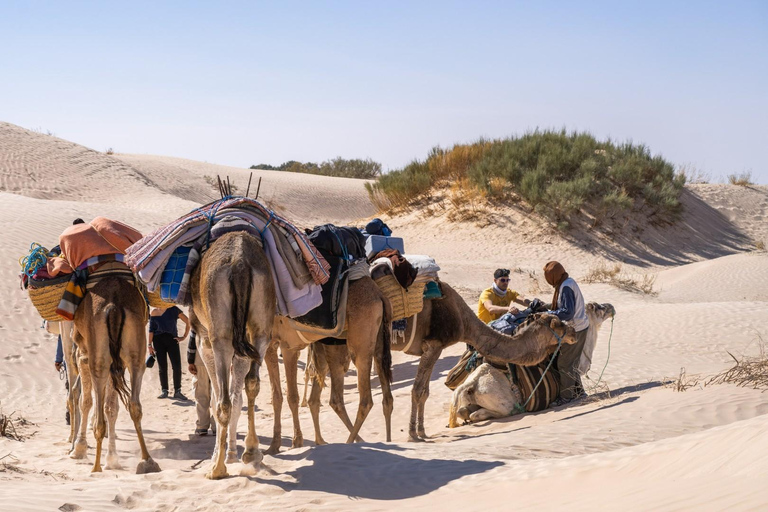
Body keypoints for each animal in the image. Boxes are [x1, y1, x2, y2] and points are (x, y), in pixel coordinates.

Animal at [69, 278, 160, 474]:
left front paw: (79, 449)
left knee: (99, 410)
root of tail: (114, 307)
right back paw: (147, 461)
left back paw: (96, 466)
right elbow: (109, 406)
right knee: (134, 404)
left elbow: (86, 402)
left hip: (99, 357)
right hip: (135, 351)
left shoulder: (82, 356)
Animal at [189, 232, 276, 480]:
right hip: (261, 326)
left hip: (220, 334)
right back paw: (252, 451)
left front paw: (219, 456)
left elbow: (217, 396)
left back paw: (217, 470)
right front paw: (234, 453)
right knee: (252, 383)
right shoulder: (244, 346)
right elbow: (238, 396)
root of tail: (240, 264)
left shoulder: (204, 341)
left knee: (223, 402)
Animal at [266, 276, 396, 452]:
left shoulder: (285, 346)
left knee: (361, 399)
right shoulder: (275, 346)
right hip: (377, 340)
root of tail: (379, 295)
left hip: (358, 342)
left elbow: (289, 396)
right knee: (385, 398)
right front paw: (278, 444)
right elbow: (279, 395)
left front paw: (293, 442)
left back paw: (350, 443)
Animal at [450, 302, 616, 426]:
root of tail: (472, 384)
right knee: (481, 414)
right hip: (502, 403)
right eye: (598, 308)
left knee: (463, 411)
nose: (610, 307)